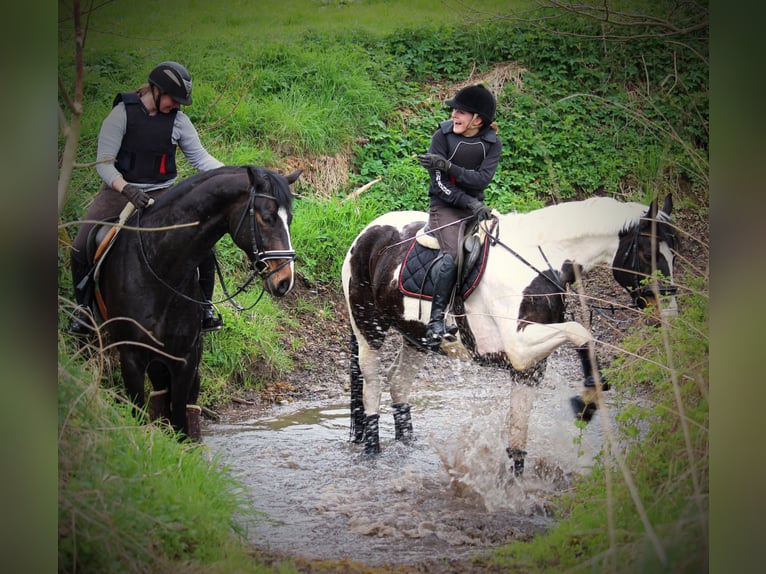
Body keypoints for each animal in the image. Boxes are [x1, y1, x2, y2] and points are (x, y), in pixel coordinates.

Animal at [80, 165, 300, 440]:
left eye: (289, 219)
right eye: (267, 217)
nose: (284, 281)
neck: (159, 267)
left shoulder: (184, 358)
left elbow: (179, 417)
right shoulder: (130, 356)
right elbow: (138, 412)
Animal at [341, 194, 678, 474]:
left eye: (674, 255)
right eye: (647, 254)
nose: (669, 314)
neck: (542, 260)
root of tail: (365, 234)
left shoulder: (529, 367)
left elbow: (518, 434)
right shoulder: (520, 349)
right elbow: (581, 332)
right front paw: (587, 401)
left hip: (417, 338)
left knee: (398, 384)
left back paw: (407, 444)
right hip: (369, 329)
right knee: (371, 388)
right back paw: (372, 451)